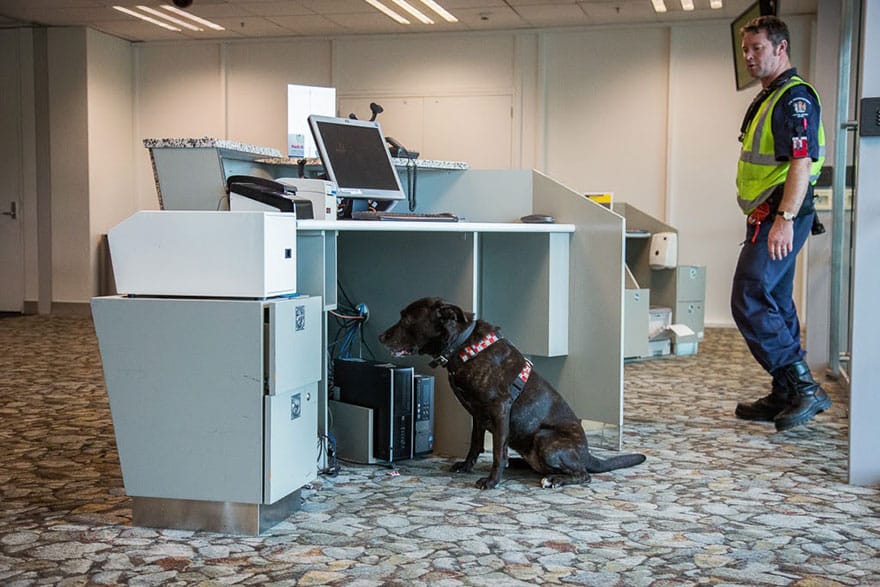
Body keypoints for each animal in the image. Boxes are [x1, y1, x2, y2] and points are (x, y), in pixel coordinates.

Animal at [380, 296, 648, 490]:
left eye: (406, 319)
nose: (380, 336)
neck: (463, 346)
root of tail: (587, 455)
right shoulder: (477, 415)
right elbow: (475, 444)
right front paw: (467, 467)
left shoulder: (499, 409)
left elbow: (498, 451)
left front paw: (491, 481)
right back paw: (519, 463)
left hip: (546, 439)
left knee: (582, 474)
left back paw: (555, 479)